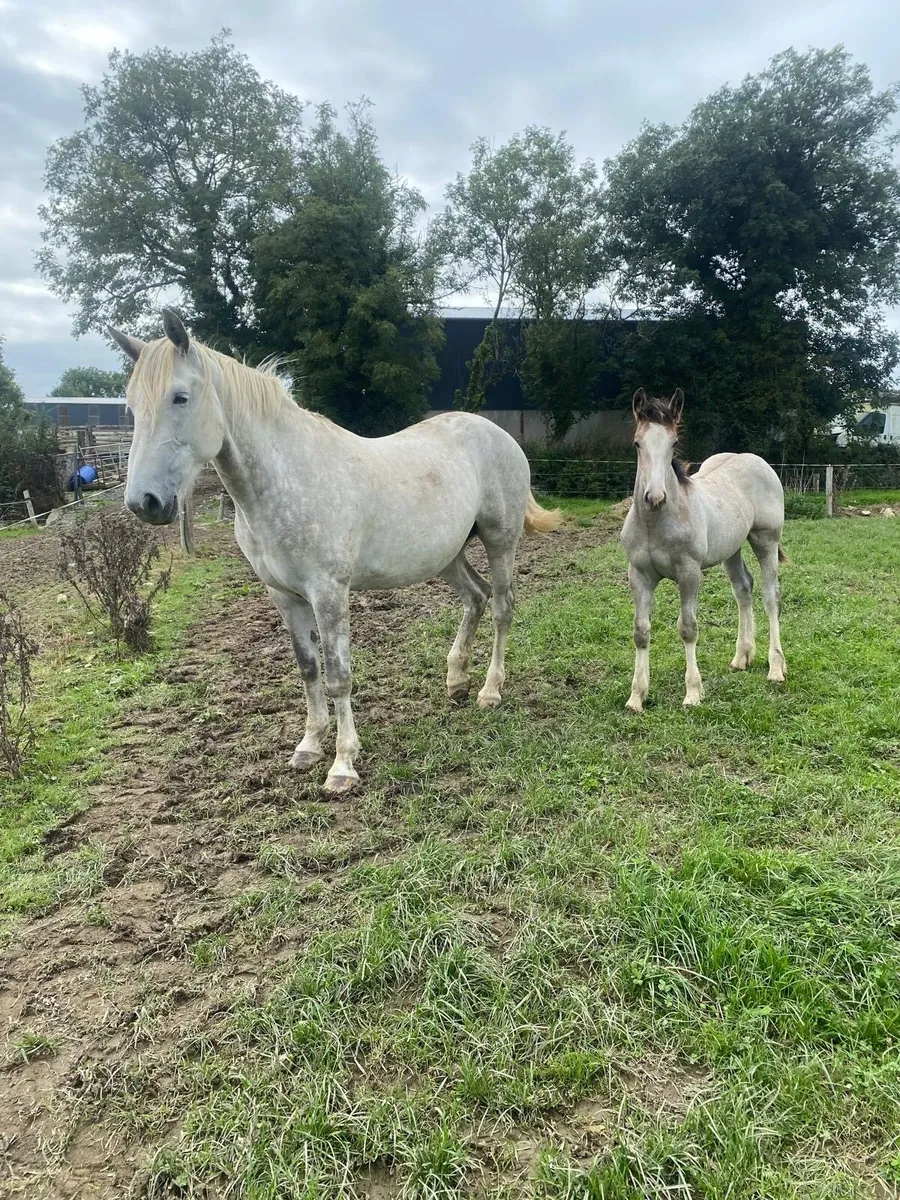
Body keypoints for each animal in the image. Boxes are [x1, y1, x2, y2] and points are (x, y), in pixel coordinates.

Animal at [110, 310, 560, 794]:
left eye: (180, 397)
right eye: (131, 407)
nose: (144, 502)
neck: (286, 478)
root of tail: (499, 435)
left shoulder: (328, 593)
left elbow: (339, 675)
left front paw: (343, 765)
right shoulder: (284, 597)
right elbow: (309, 670)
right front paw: (309, 746)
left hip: (500, 542)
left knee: (501, 608)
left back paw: (489, 691)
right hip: (447, 555)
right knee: (475, 598)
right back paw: (456, 681)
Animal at [620, 387, 786, 713]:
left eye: (673, 443)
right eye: (637, 443)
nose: (654, 497)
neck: (656, 523)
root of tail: (757, 461)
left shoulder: (689, 573)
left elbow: (688, 628)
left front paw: (693, 693)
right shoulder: (639, 575)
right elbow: (641, 632)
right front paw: (636, 697)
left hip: (766, 541)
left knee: (770, 596)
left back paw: (776, 668)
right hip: (731, 549)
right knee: (743, 589)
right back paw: (742, 657)